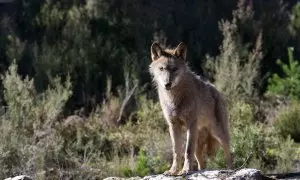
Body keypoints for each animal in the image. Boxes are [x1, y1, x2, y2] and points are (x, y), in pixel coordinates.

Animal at [149, 41, 232, 174]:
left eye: (175, 69)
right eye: (161, 69)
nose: (167, 84)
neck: (174, 98)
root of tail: (217, 91)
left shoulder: (190, 124)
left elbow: (187, 151)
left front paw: (186, 170)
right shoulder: (173, 125)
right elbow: (176, 151)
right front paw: (173, 171)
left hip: (219, 133)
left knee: (229, 154)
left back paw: (231, 170)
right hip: (199, 144)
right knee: (202, 163)